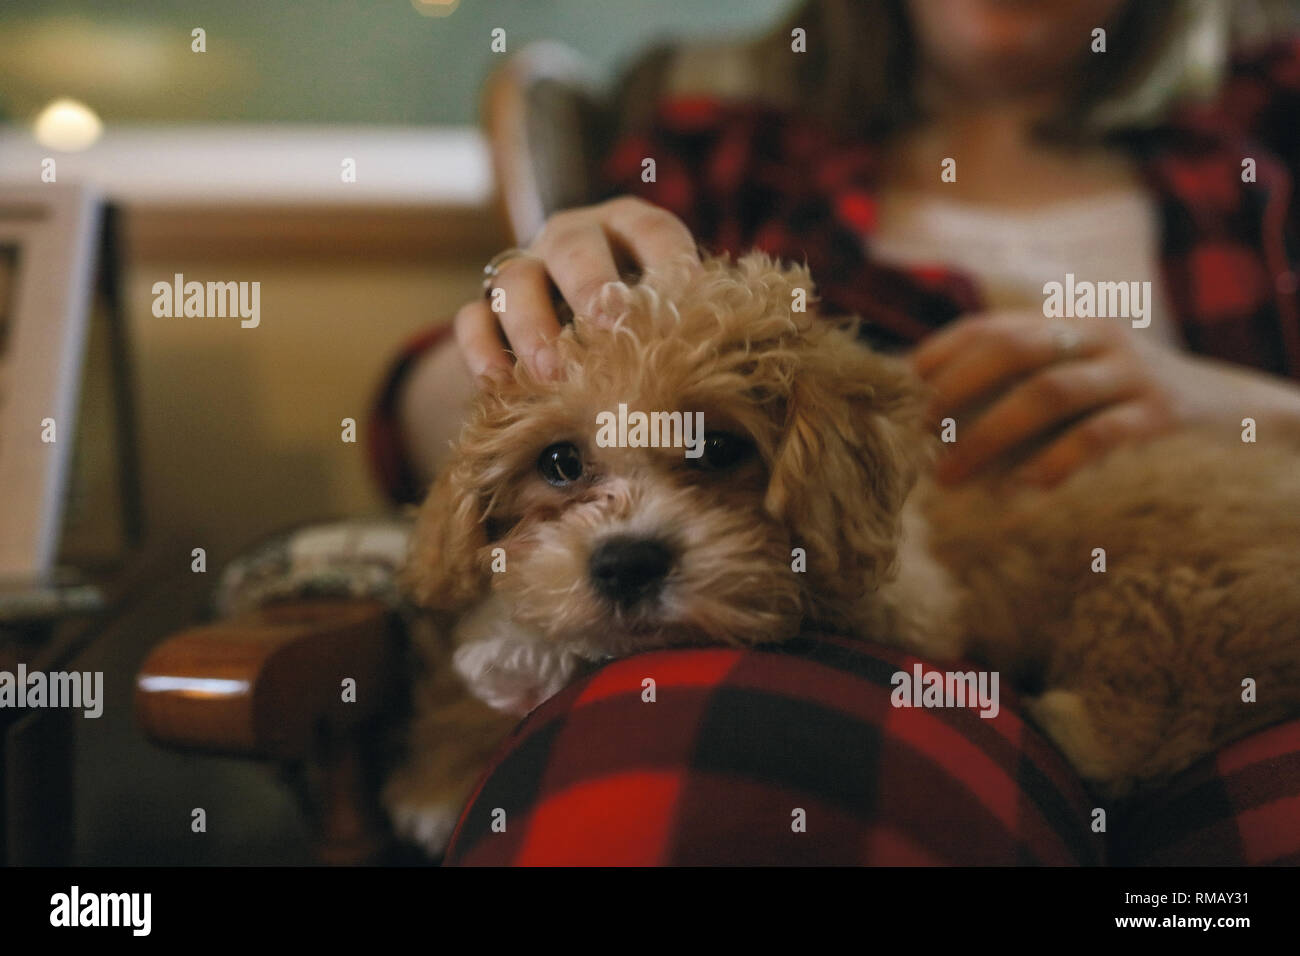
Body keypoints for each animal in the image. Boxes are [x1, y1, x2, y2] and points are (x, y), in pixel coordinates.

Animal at [384, 252, 1300, 853]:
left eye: (719, 446)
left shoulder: (905, 598)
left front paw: (513, 654)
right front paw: (450, 754)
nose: (626, 563)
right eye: (560, 463)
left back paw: (1084, 727)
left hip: (1166, 566)